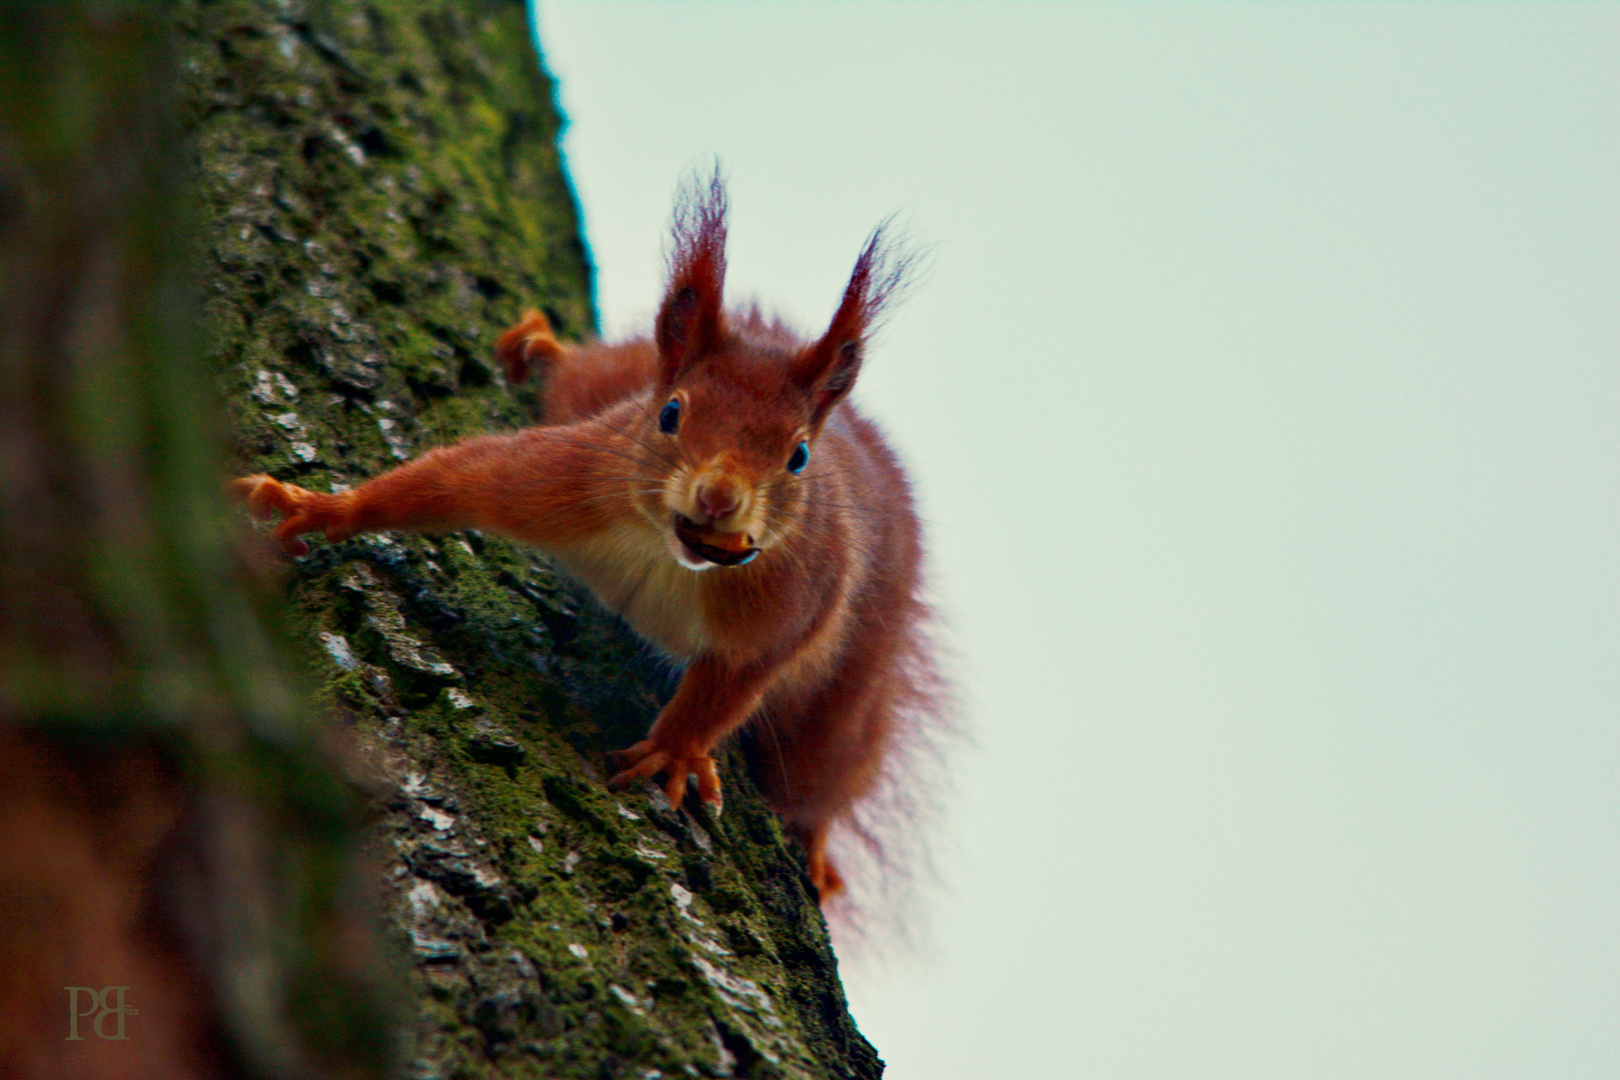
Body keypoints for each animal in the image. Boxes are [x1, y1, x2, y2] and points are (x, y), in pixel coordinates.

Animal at [231, 175, 939, 906]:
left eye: (798, 457)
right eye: (671, 413)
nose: (718, 498)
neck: (667, 554)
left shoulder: (790, 607)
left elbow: (728, 689)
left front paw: (674, 750)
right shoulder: (568, 475)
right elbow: (454, 480)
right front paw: (324, 508)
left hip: (846, 704)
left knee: (821, 778)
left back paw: (817, 845)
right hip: (604, 386)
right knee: (582, 372)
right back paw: (546, 347)